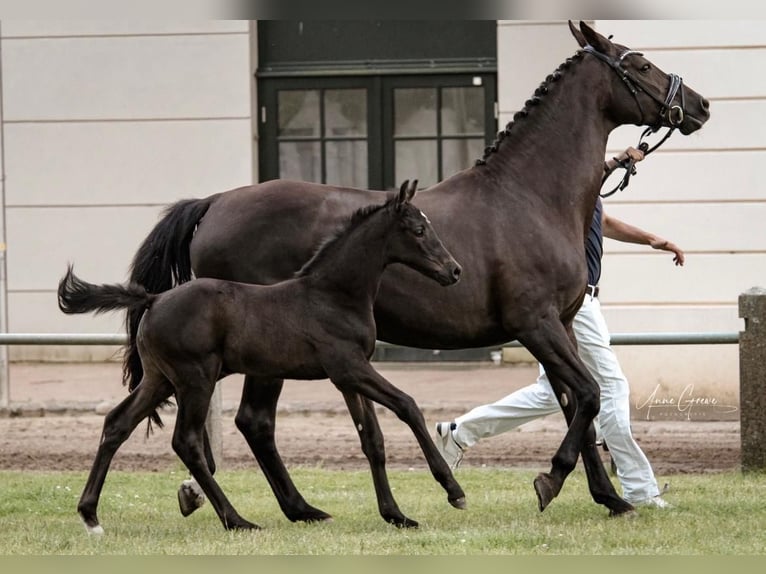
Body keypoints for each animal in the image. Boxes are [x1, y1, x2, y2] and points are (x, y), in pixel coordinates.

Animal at [57, 181, 465, 533]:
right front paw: (453, 490)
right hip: (195, 378)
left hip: (161, 379)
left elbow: (373, 440)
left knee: (118, 423)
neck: (333, 295)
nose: (454, 270)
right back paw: (238, 520)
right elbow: (407, 405)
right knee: (186, 440)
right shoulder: (349, 368)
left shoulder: (350, 377)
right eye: (418, 230)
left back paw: (90, 516)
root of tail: (153, 299)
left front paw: (396, 515)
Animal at [122, 21, 710, 519]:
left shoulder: (561, 324)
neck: (529, 195)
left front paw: (610, 497)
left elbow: (577, 406)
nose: (700, 104)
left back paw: (282, 506)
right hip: (266, 354)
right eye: (640, 64)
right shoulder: (535, 324)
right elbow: (587, 395)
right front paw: (550, 481)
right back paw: (283, 507)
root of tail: (214, 203)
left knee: (250, 423)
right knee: (253, 422)